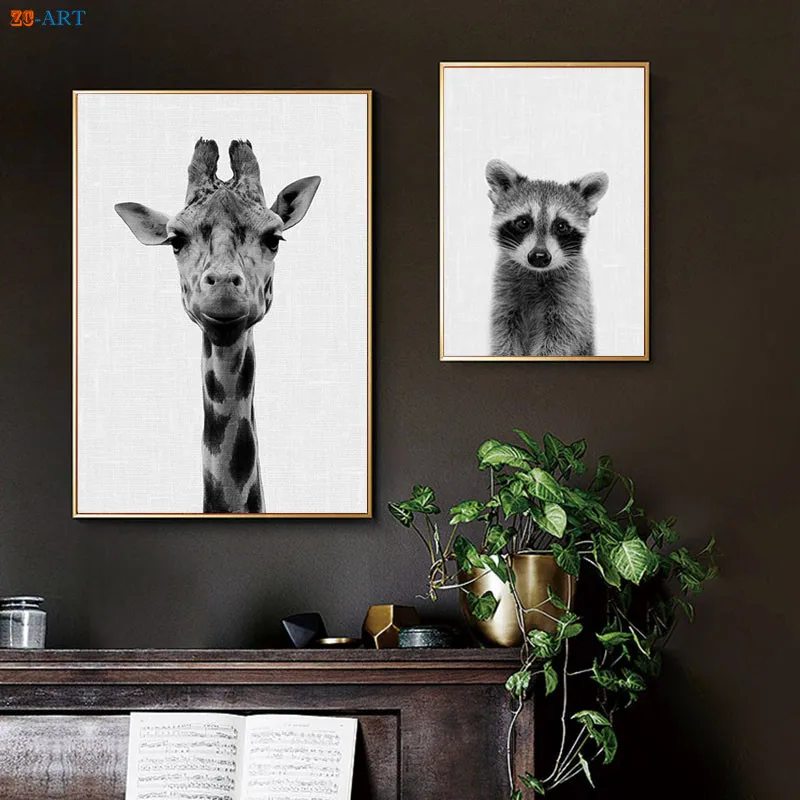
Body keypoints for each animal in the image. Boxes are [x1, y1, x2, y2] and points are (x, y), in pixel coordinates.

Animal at [485, 159, 609, 357]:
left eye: (561, 226)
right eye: (523, 222)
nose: (539, 256)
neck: (536, 273)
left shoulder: (573, 294)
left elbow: (562, 336)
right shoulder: (504, 292)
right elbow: (503, 333)